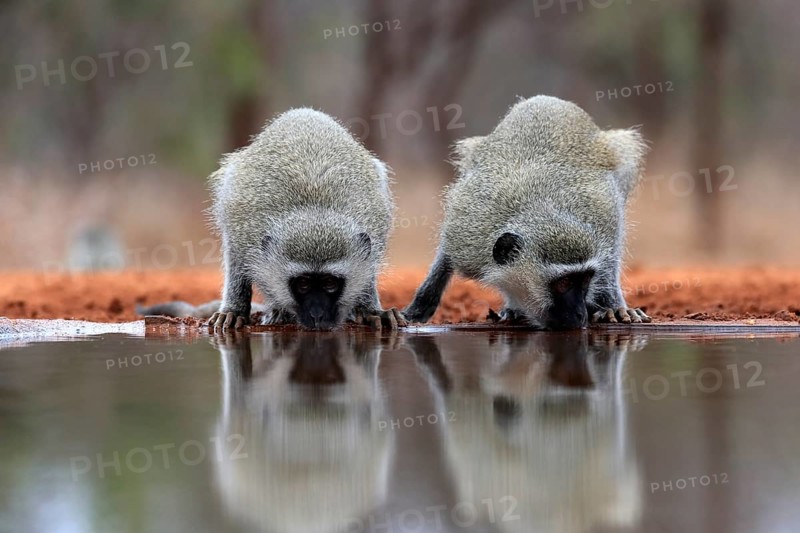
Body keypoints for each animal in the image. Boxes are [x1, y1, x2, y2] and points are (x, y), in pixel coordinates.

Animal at [141, 109, 405, 331]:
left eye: (330, 283)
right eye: (302, 285)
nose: (317, 315)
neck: (314, 209)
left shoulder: (375, 232)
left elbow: (368, 270)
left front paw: (370, 310)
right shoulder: (243, 231)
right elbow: (236, 259)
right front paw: (235, 309)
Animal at [403, 96, 651, 330]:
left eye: (585, 280)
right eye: (564, 283)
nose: (581, 315)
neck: (539, 209)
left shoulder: (605, 217)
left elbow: (611, 255)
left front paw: (613, 307)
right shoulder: (467, 235)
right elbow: (446, 255)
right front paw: (421, 304)